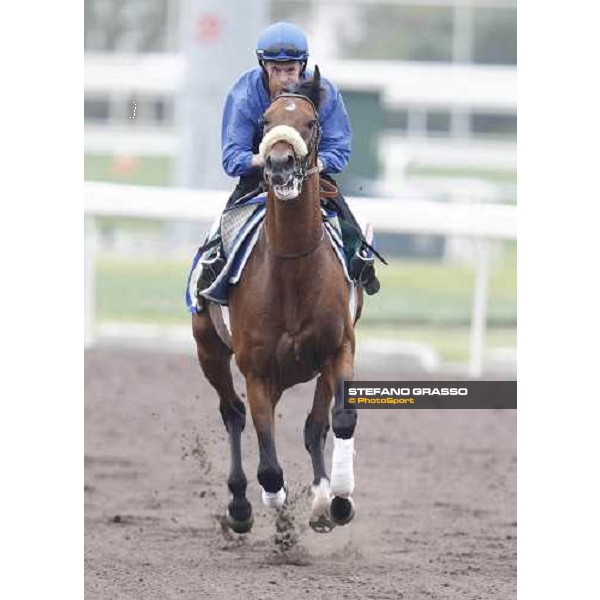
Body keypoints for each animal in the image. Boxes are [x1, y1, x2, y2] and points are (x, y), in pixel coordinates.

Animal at [192, 67, 360, 536]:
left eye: (312, 122)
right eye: (265, 122)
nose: (280, 163)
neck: (292, 270)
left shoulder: (339, 348)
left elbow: (339, 419)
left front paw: (338, 498)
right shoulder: (256, 368)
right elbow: (268, 464)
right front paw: (275, 500)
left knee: (314, 427)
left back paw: (322, 500)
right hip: (209, 348)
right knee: (232, 412)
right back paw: (240, 505)